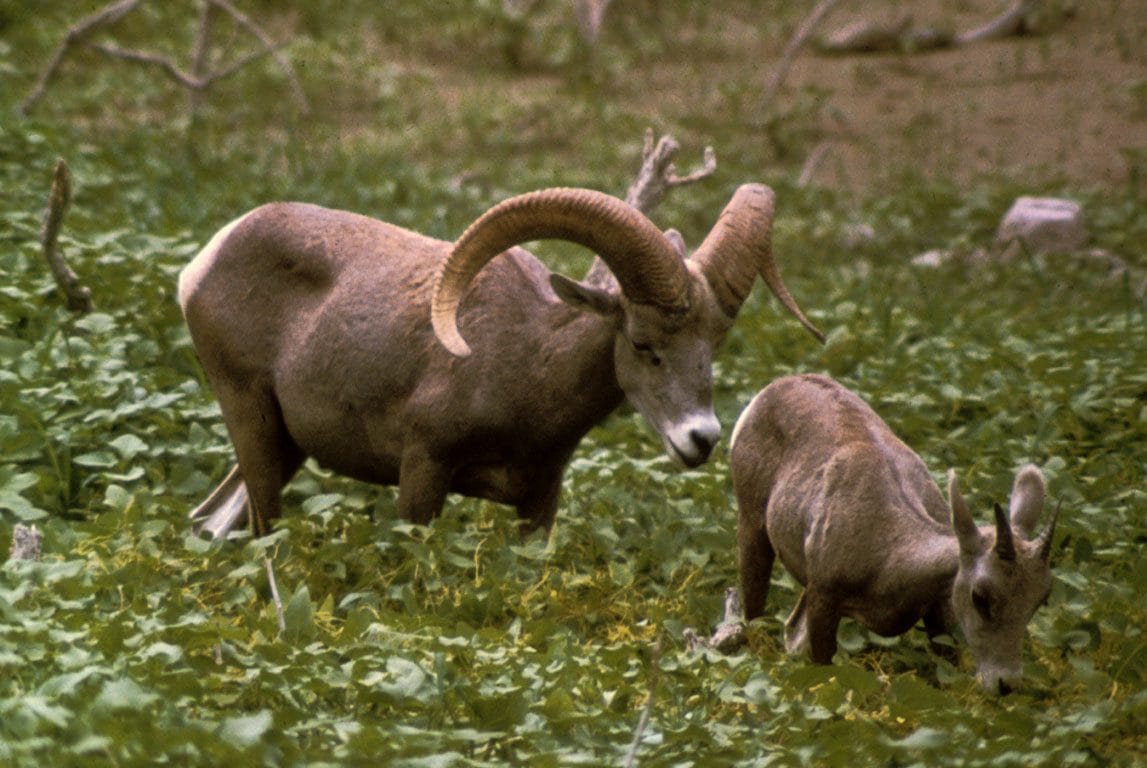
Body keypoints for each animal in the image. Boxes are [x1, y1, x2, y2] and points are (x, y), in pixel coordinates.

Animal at [180, 184, 824, 539]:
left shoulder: (538, 504)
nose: (702, 439)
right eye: (645, 345)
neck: (525, 370)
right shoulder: (423, 472)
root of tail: (203, 264)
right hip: (251, 421)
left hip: (286, 447)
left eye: (713, 345)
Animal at [729, 374, 1059, 693]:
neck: (887, 557)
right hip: (752, 524)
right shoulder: (824, 597)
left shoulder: (938, 608)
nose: (1004, 684)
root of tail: (768, 391)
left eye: (1041, 599)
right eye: (980, 596)